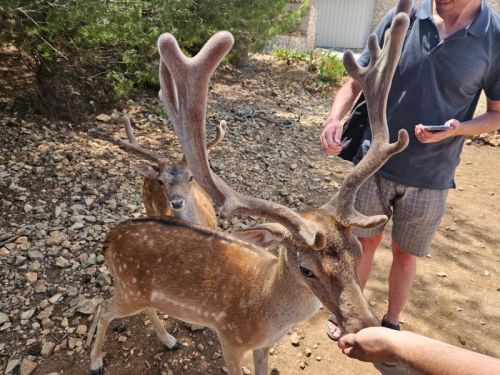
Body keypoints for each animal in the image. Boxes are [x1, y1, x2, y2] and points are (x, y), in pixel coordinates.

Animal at [90, 1, 410, 374]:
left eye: (357, 253)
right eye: (306, 269)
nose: (364, 327)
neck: (266, 313)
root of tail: (110, 238)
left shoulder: (264, 346)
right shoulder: (230, 339)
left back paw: (169, 339)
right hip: (128, 287)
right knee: (103, 307)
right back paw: (96, 360)